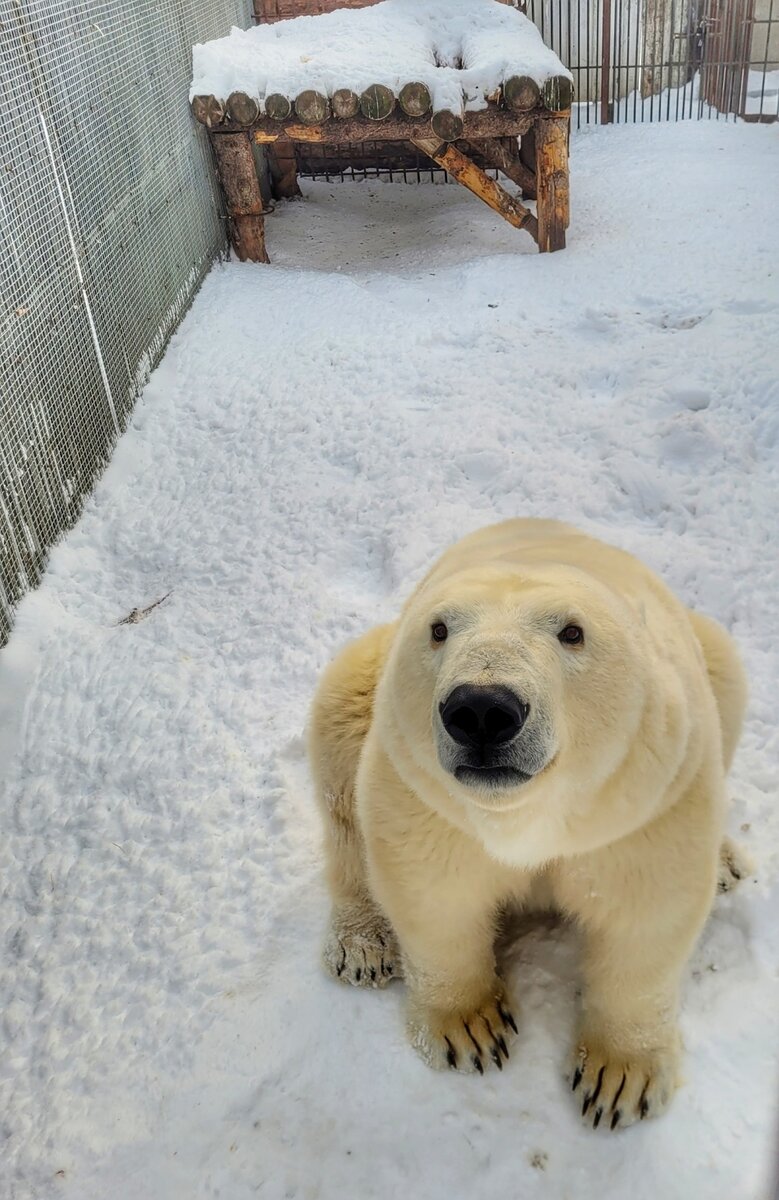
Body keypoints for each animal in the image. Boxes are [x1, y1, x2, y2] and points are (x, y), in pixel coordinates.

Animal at [307, 520, 748, 1128]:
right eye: (438, 629)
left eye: (572, 632)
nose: (482, 710)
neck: (527, 812)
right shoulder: (430, 804)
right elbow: (434, 896)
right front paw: (471, 1029)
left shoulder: (641, 807)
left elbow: (646, 914)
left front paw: (618, 1080)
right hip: (373, 690)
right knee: (341, 736)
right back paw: (364, 947)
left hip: (707, 667)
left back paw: (727, 861)